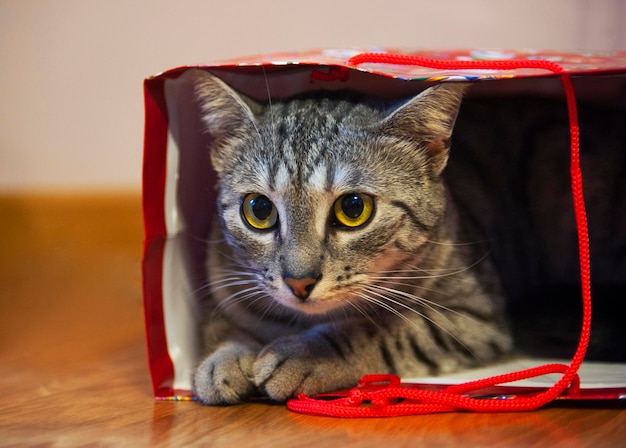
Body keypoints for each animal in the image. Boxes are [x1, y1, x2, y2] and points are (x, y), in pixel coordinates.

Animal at [190, 71, 512, 406]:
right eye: (259, 209)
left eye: (353, 208)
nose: (299, 282)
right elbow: (223, 328)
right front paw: (223, 360)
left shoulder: (474, 316)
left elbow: (381, 329)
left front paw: (304, 354)